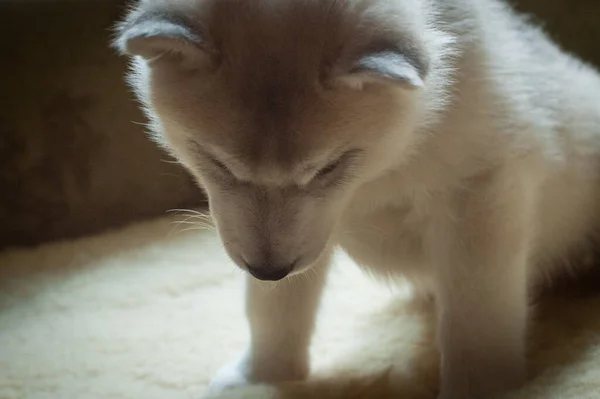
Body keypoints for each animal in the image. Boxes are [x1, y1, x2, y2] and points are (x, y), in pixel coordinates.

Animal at [113, 1, 600, 398]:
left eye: (329, 167)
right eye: (217, 162)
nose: (268, 270)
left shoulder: (480, 195)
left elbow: (477, 317)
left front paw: (482, 390)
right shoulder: (284, 236)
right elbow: (274, 308)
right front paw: (264, 377)